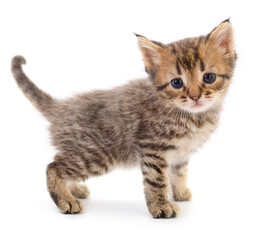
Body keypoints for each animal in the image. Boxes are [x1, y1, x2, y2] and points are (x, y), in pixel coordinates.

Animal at [11, 19, 236, 218]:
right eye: (176, 83)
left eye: (209, 77)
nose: (195, 96)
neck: (192, 116)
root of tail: (59, 107)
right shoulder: (151, 148)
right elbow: (157, 180)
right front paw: (161, 206)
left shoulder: (181, 153)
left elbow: (179, 173)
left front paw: (180, 193)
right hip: (96, 155)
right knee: (53, 167)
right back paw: (66, 200)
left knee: (59, 158)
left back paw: (73, 190)